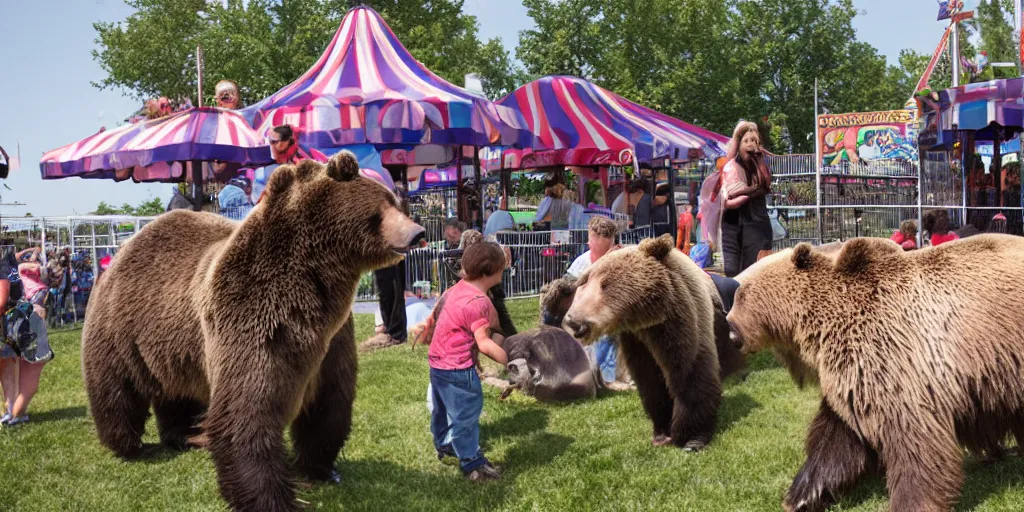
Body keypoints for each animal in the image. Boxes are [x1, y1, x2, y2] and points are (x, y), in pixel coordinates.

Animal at [77, 151, 423, 512]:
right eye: (382, 207)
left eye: (396, 202)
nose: (418, 232)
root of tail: (120, 250)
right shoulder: (256, 318)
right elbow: (246, 410)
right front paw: (270, 497)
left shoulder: (332, 339)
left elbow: (330, 404)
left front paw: (320, 467)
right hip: (120, 329)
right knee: (115, 389)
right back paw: (126, 444)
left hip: (173, 342)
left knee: (176, 392)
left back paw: (185, 435)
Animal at [561, 234, 745, 450]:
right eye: (583, 282)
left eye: (605, 285)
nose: (573, 321)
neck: (650, 317)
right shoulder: (637, 341)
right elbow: (651, 383)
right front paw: (662, 432)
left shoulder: (683, 319)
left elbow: (690, 374)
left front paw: (691, 437)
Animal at [729, 235, 1024, 512]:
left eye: (742, 293)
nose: (731, 335)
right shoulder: (855, 378)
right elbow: (836, 438)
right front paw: (801, 497)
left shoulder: (895, 358)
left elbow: (914, 443)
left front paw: (912, 502)